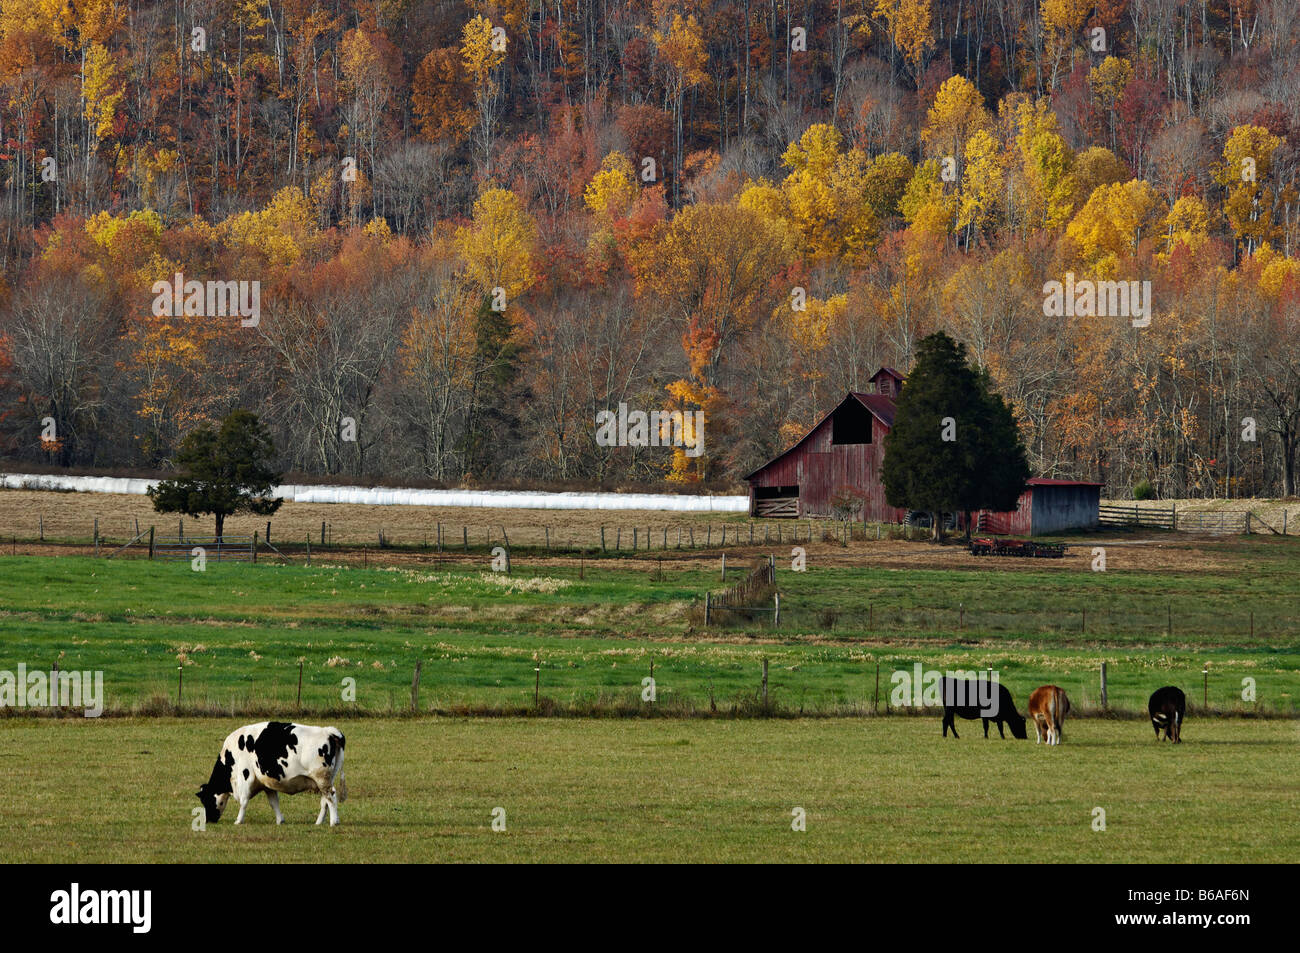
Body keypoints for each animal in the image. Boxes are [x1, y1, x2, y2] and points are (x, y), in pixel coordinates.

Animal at [193, 717, 345, 821]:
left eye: (205, 800)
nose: (209, 820)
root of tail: (327, 731)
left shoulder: (245, 777)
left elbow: (243, 801)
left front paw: (238, 820)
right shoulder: (266, 783)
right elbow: (274, 803)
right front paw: (280, 820)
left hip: (322, 778)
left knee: (331, 796)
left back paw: (334, 822)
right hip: (325, 779)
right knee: (325, 801)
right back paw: (319, 822)